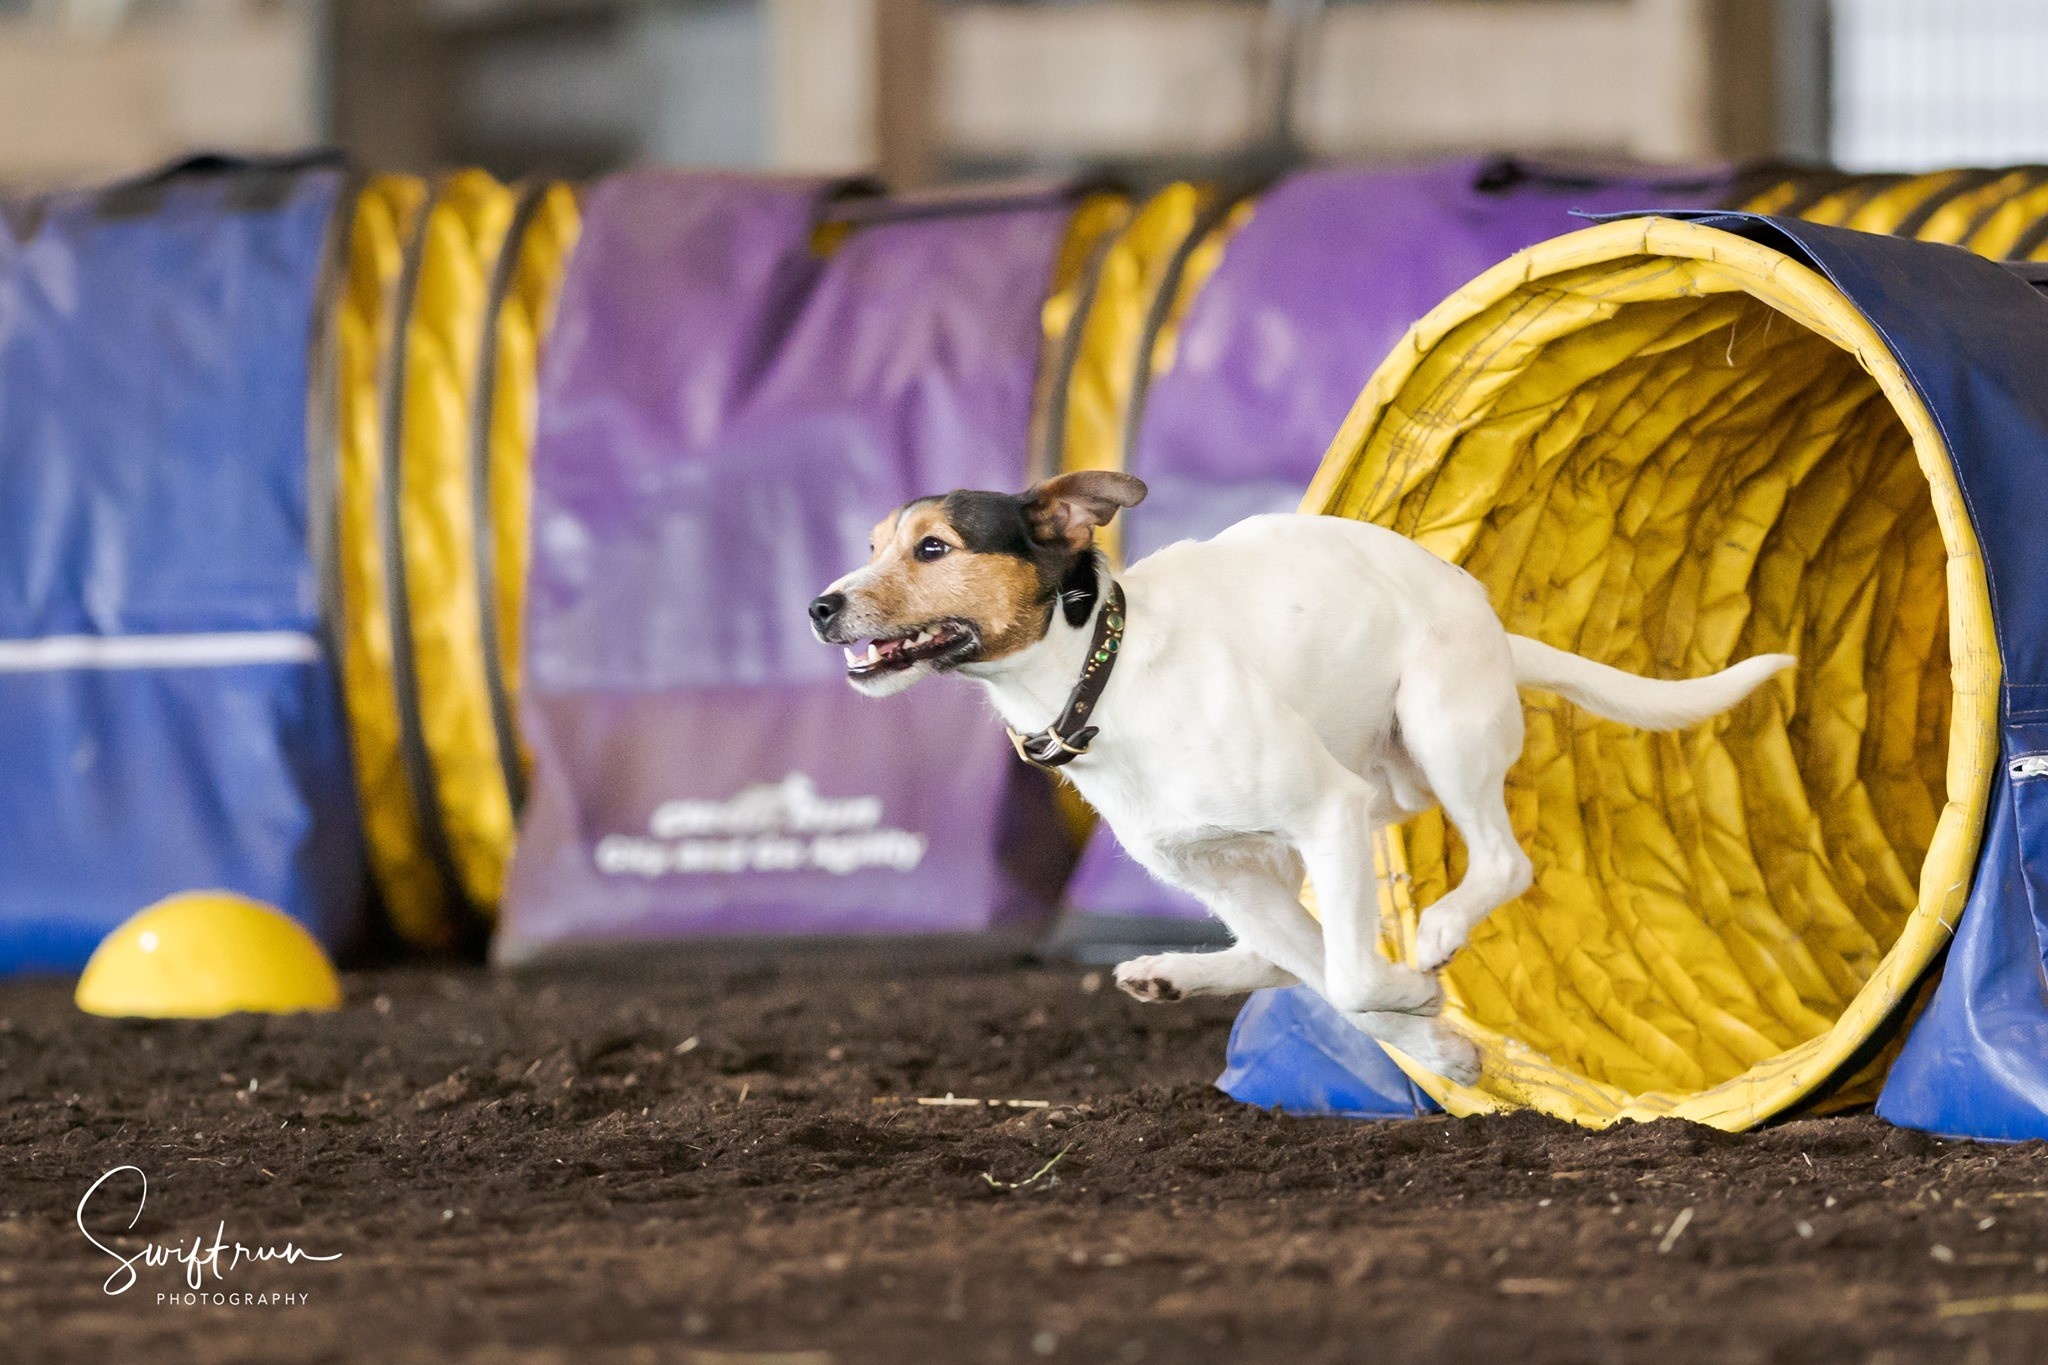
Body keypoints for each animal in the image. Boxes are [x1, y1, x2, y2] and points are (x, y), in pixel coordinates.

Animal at [808, 471, 1794, 1084]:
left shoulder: (1327, 811)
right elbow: (1334, 982)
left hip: (1436, 730)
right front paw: (1439, 1049)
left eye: (933, 549)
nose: (818, 605)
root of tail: (1489, 618)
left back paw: (1438, 932)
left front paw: (1419, 994)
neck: (1101, 674)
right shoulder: (1223, 871)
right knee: (1292, 953)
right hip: (1321, 828)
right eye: (874, 543)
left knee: (1501, 863)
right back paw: (1172, 972)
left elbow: (1354, 981)